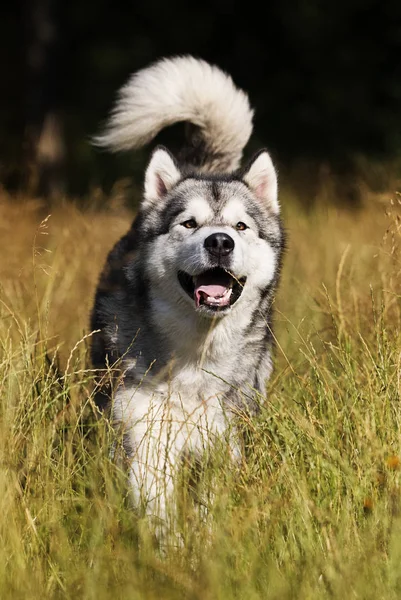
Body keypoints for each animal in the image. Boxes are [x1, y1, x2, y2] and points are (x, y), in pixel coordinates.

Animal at [90, 55, 284, 524]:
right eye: (189, 223)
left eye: (240, 226)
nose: (219, 242)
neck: (196, 352)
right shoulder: (144, 437)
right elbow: (158, 512)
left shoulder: (224, 441)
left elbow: (211, 512)